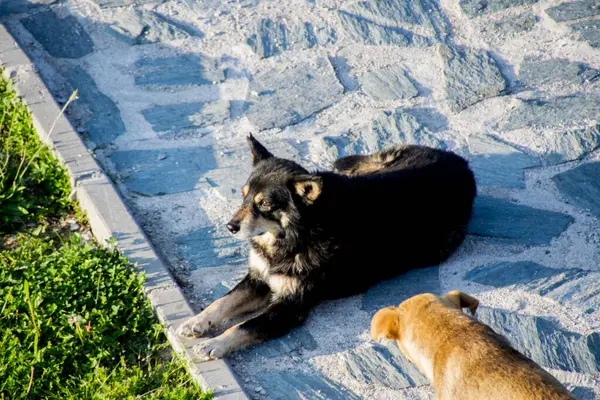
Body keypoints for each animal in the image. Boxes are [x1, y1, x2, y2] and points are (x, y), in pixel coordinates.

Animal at [176, 134, 476, 360]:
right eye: (244, 196)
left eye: (265, 204)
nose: (230, 226)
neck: (296, 236)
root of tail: (462, 163)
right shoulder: (259, 278)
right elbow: (222, 302)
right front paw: (196, 321)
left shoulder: (289, 307)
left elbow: (244, 326)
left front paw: (215, 343)